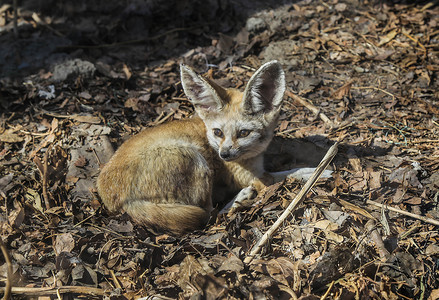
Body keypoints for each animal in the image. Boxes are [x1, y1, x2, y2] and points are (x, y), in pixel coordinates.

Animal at [97, 60, 330, 234]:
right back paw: (239, 199)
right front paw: (316, 172)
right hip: (196, 161)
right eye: (218, 132)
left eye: (243, 133)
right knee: (210, 216)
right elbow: (288, 174)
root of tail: (121, 202)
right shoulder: (254, 177)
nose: (224, 155)